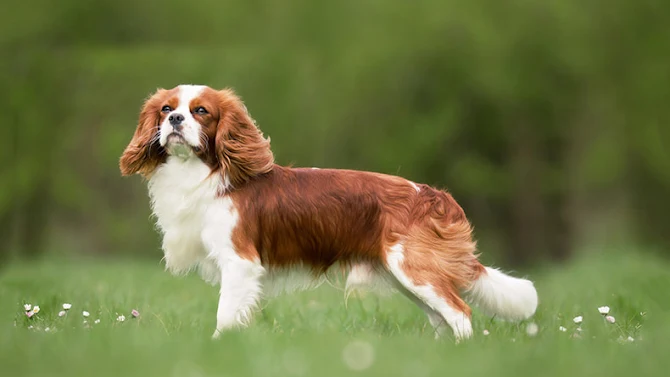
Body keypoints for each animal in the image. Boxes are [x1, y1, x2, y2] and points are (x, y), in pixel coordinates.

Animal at [122, 83, 540, 340]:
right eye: (166, 108)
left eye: (201, 111)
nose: (175, 120)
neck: (202, 173)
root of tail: (434, 196)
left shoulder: (239, 263)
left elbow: (225, 315)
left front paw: (217, 346)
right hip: (407, 277)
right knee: (442, 318)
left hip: (414, 269)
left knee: (460, 313)